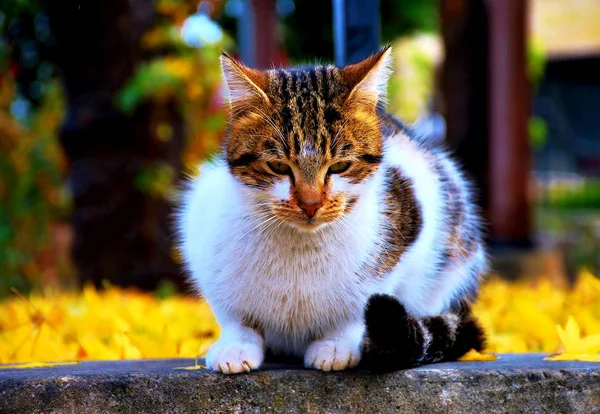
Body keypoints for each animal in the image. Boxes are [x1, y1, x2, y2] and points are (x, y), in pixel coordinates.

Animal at [178, 47, 488, 374]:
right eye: (277, 166)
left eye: (340, 166)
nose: (310, 204)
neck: (299, 247)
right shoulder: (200, 231)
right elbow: (234, 315)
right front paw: (236, 346)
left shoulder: (412, 221)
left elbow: (356, 309)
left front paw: (336, 344)